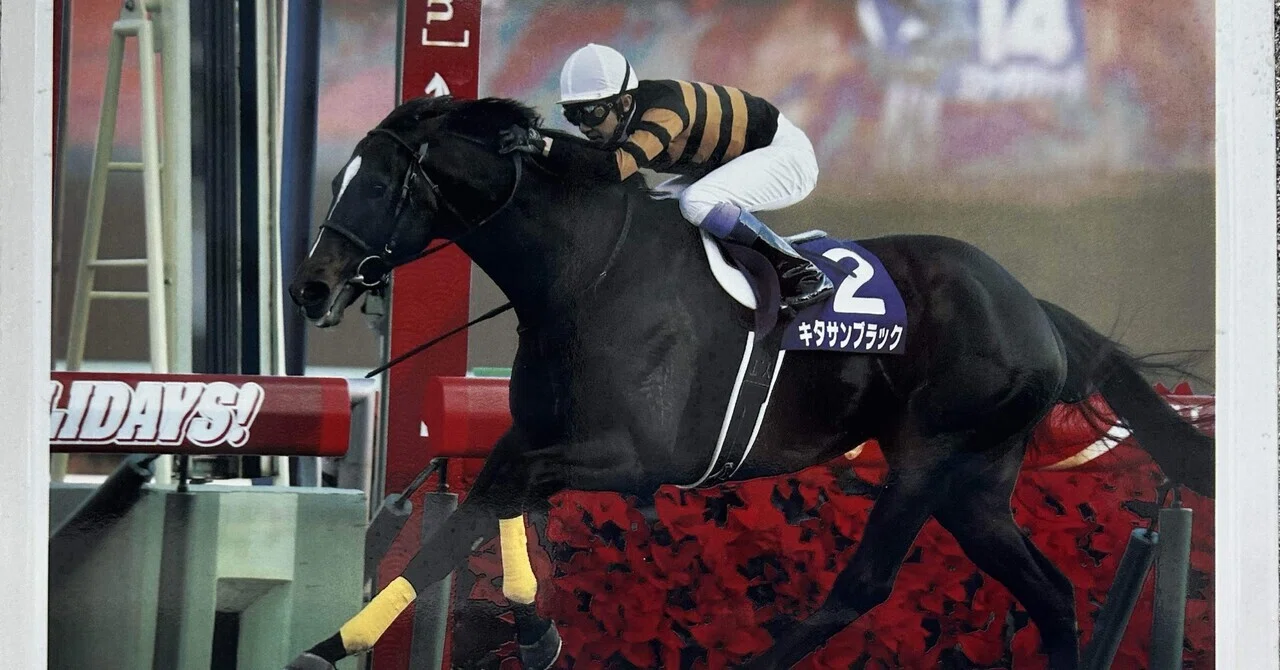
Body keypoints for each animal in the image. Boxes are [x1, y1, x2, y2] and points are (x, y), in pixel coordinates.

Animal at [284, 95, 1214, 670]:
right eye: (336, 178)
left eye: (377, 182)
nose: (312, 288)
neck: (583, 274)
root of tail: (1034, 308)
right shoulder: (534, 433)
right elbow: (464, 525)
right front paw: (335, 644)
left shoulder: (635, 457)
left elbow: (489, 508)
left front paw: (530, 632)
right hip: (976, 482)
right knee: (1051, 595)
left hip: (930, 456)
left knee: (864, 585)